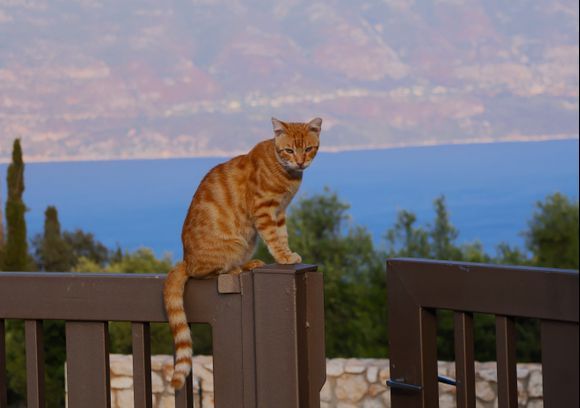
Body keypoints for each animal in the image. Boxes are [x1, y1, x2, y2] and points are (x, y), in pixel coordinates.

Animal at [164, 115, 322, 388]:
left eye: (309, 148)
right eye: (290, 150)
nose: (301, 161)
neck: (287, 173)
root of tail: (185, 259)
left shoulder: (279, 212)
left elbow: (282, 235)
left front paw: (287, 253)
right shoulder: (264, 210)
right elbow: (275, 238)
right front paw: (284, 257)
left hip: (248, 242)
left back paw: (250, 264)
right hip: (234, 244)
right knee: (207, 273)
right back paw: (237, 269)